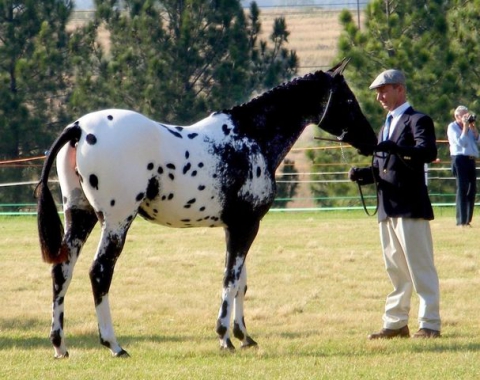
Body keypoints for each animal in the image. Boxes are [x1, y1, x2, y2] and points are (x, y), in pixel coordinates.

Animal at [35, 58, 376, 356]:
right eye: (347, 100)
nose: (371, 141)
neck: (251, 137)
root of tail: (79, 128)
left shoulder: (237, 227)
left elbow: (241, 281)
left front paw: (243, 336)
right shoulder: (247, 226)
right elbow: (230, 278)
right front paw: (225, 338)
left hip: (80, 215)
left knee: (62, 270)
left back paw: (60, 346)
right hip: (117, 220)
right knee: (100, 272)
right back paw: (114, 345)